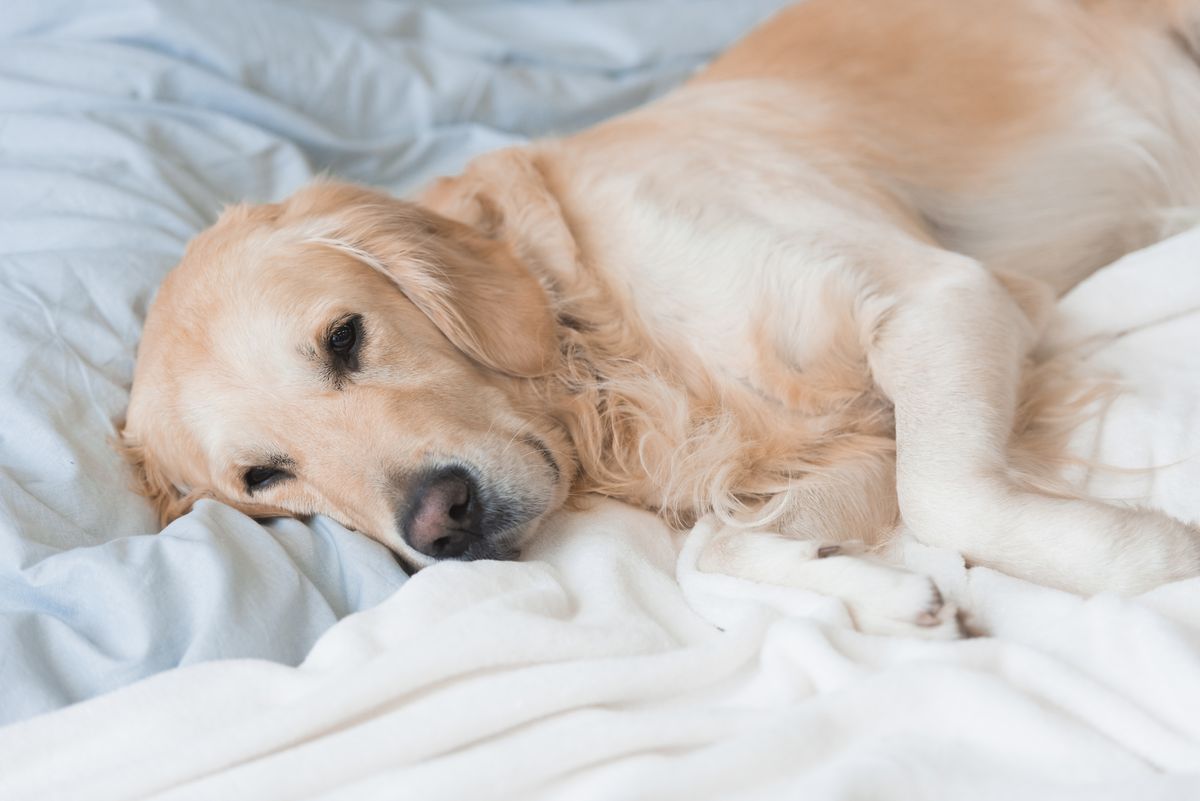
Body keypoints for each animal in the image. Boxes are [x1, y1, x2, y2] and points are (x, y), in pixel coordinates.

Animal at [119, 1, 1200, 637]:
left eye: (344, 337)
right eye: (265, 478)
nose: (442, 520)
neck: (592, 322)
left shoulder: (942, 295)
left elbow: (946, 496)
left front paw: (1154, 560)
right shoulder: (841, 438)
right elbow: (705, 551)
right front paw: (880, 590)